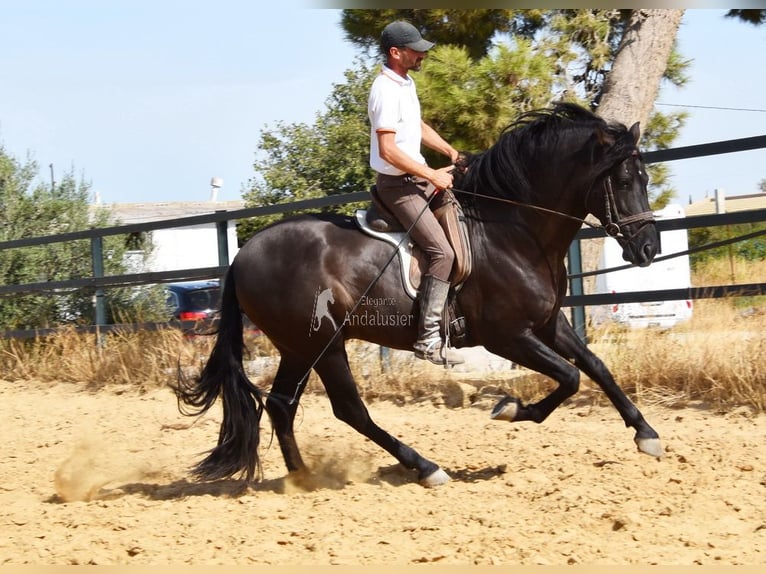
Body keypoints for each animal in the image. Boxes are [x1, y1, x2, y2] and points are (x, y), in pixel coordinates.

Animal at [177, 102, 664, 486]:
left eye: (644, 178)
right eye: (624, 180)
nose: (648, 248)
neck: (513, 230)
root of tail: (242, 256)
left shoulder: (548, 322)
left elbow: (595, 367)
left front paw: (646, 434)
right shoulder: (506, 336)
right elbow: (569, 377)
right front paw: (509, 409)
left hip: (299, 347)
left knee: (282, 404)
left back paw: (304, 479)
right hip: (323, 344)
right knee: (349, 410)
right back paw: (425, 468)